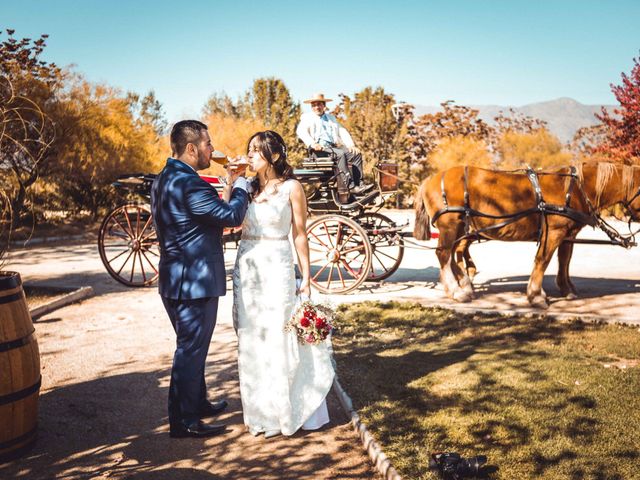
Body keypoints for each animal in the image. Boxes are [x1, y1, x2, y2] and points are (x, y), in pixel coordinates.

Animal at [416, 163, 640, 308]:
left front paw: (567, 289)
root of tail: (430, 179)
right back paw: (456, 291)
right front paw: (536, 295)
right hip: (450, 226)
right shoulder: (554, 232)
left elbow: (564, 261)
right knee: (444, 255)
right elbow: (543, 260)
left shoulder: (568, 234)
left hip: (461, 229)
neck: (575, 190)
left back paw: (465, 286)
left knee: (453, 255)